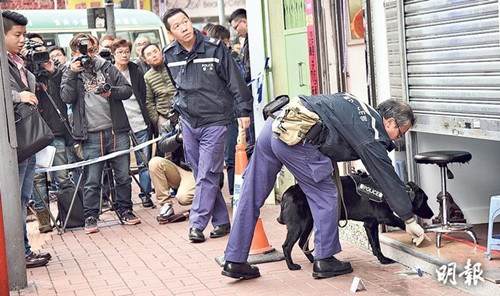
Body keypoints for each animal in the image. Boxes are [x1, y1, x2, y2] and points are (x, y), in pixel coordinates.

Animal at [278, 176, 434, 270]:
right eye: (425, 200)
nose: (432, 214)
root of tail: (286, 194)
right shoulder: (385, 217)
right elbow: (401, 223)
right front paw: (417, 232)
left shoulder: (370, 224)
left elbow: (376, 245)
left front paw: (381, 259)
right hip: (298, 226)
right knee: (287, 246)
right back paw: (292, 266)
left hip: (308, 223)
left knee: (301, 243)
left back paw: (313, 260)